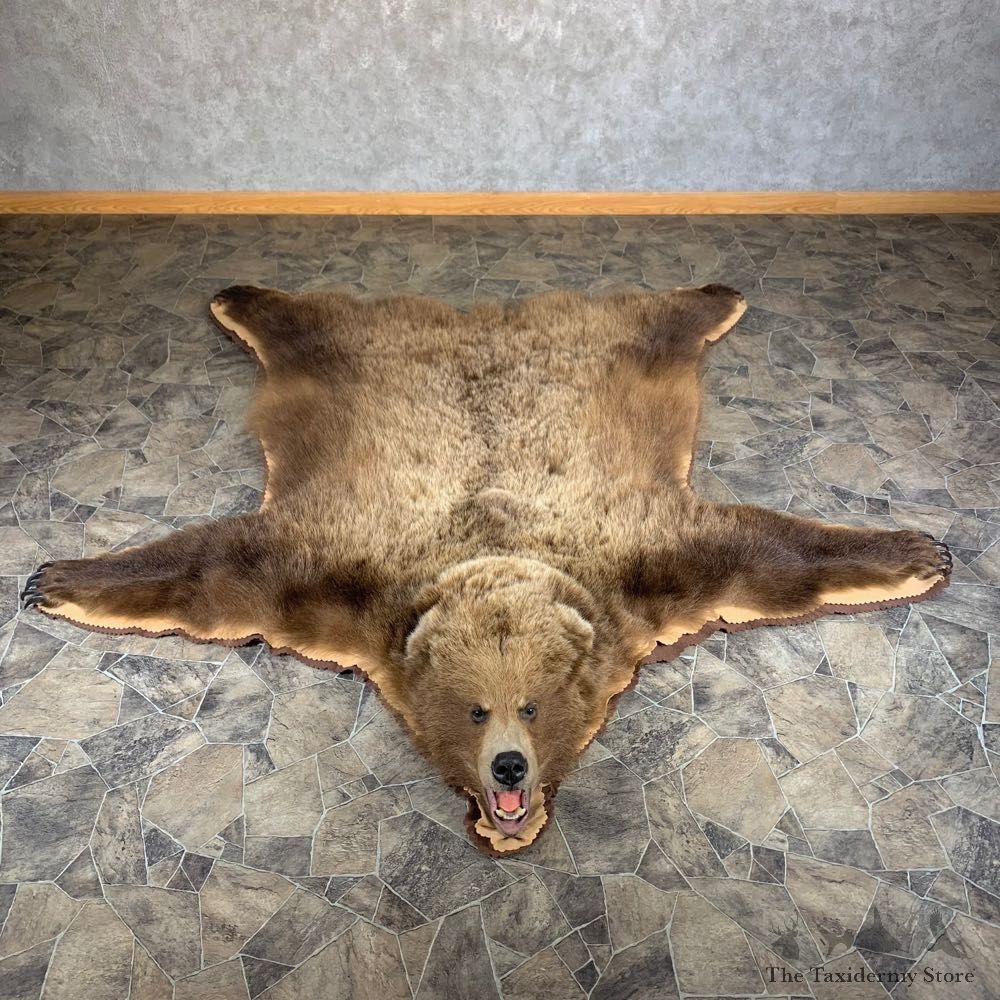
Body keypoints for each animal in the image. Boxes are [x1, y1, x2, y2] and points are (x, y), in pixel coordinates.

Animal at [22, 282, 951, 852]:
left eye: (533, 706)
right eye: (475, 711)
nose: (509, 772)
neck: (493, 552)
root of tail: (482, 321)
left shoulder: (648, 562)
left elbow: (770, 552)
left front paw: (920, 552)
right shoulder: (332, 575)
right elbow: (214, 567)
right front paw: (57, 578)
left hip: (614, 350)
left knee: (655, 318)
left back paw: (717, 295)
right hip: (346, 358)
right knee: (308, 322)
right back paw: (240, 297)